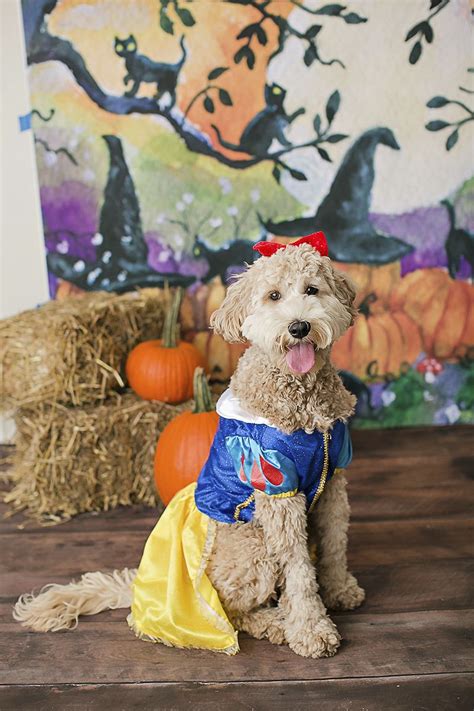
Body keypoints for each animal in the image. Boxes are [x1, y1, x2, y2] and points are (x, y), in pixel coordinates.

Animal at [13, 235, 362, 660]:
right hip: (252, 544)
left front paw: (339, 588)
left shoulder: (334, 478)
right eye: (273, 296)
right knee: (233, 611)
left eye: (312, 290)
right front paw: (311, 630)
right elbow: (298, 571)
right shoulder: (277, 491)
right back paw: (275, 622)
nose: (299, 327)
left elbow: (335, 541)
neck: (302, 396)